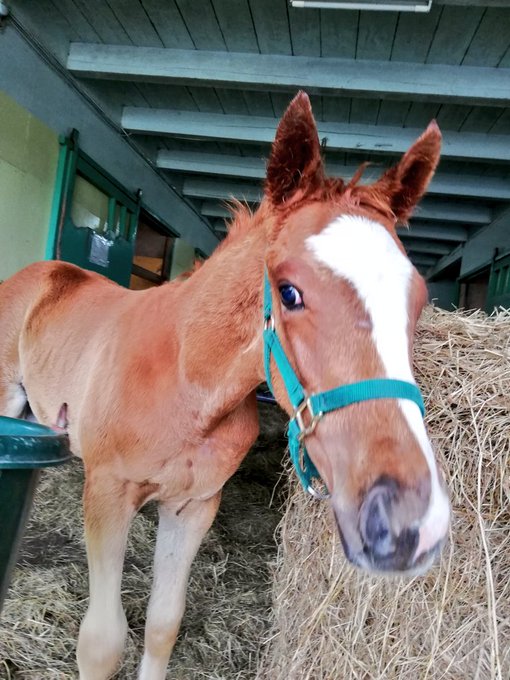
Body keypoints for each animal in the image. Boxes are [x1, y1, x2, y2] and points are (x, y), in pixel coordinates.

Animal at [0, 91, 448, 680]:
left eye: (417, 300)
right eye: (289, 292)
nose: (407, 521)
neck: (186, 384)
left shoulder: (194, 507)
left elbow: (162, 625)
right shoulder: (107, 494)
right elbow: (102, 641)